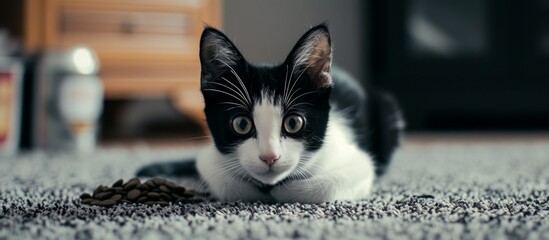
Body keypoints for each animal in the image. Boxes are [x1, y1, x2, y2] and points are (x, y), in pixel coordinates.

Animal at [137, 24, 402, 203]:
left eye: (293, 122)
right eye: (241, 124)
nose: (269, 157)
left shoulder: (357, 160)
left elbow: (324, 186)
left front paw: (279, 191)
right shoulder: (210, 157)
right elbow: (225, 182)